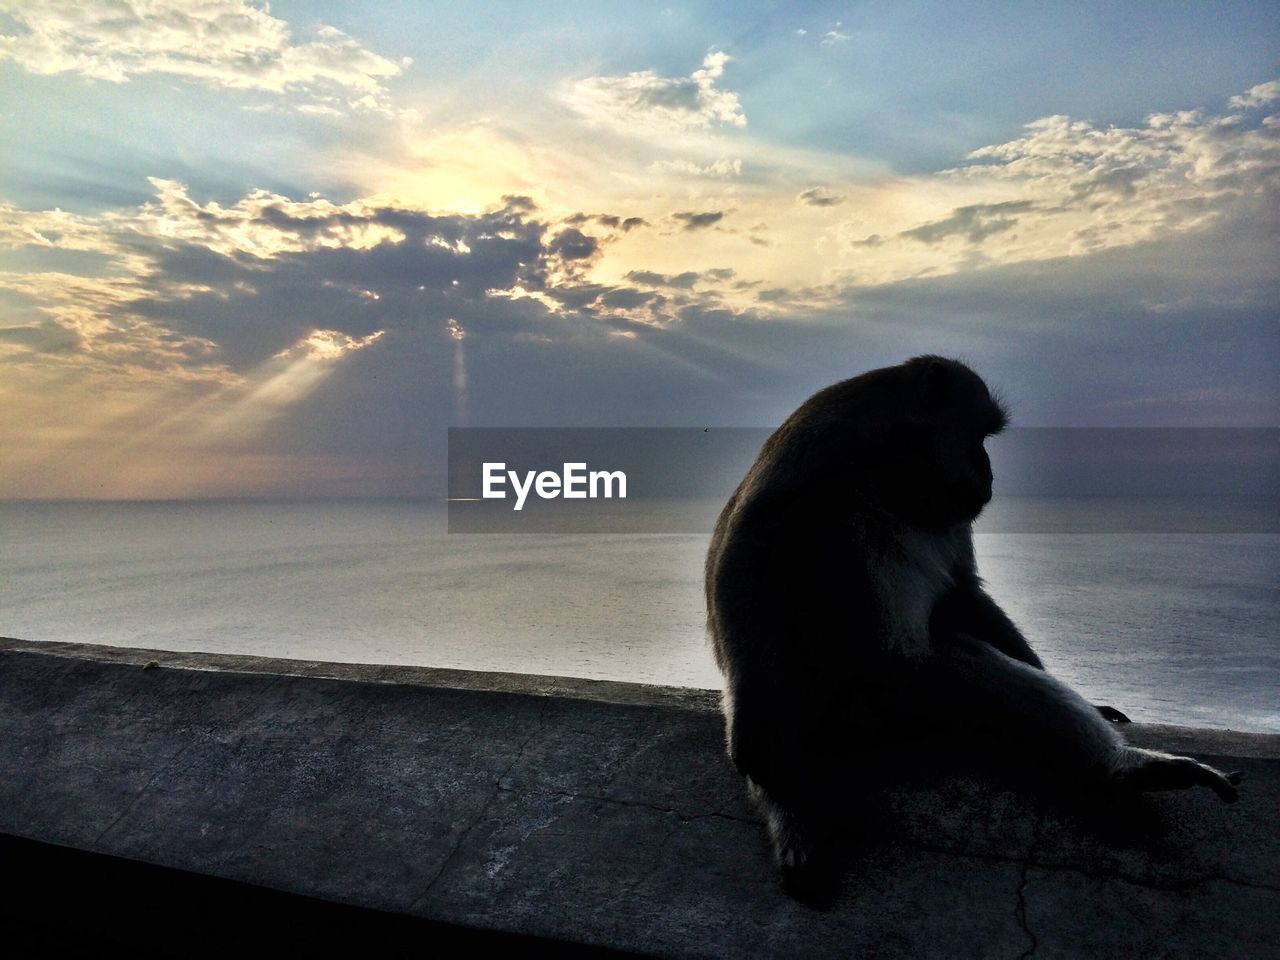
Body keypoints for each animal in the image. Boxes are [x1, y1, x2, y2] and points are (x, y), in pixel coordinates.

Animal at [706, 355, 1244, 901]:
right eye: (980, 435)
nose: (989, 468)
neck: (898, 466)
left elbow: (962, 590)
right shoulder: (819, 445)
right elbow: (744, 550)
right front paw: (761, 754)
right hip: (849, 701)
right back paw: (1124, 768)